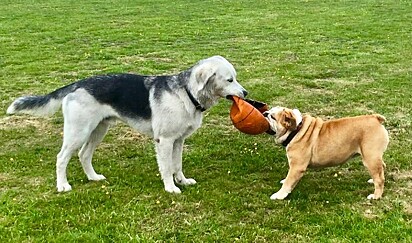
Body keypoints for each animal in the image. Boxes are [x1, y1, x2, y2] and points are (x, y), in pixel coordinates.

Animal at [7, 55, 248, 194]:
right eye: (229, 80)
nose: (245, 93)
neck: (186, 93)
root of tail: (77, 84)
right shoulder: (164, 141)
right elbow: (167, 168)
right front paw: (171, 188)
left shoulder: (178, 141)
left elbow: (177, 165)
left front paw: (182, 181)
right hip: (78, 132)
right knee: (61, 158)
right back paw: (62, 186)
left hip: (98, 130)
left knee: (84, 155)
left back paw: (93, 178)